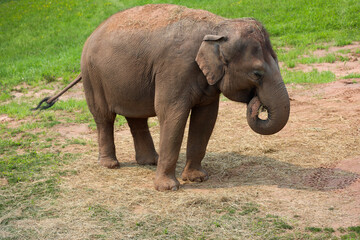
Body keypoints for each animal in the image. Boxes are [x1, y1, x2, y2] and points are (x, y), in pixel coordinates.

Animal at [79, 3, 290, 190]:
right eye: (257, 74)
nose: (257, 104)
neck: (218, 27)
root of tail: (92, 33)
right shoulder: (174, 69)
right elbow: (172, 115)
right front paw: (168, 188)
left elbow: (205, 119)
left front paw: (197, 178)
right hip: (92, 76)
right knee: (104, 117)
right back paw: (111, 164)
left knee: (136, 117)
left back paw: (150, 161)